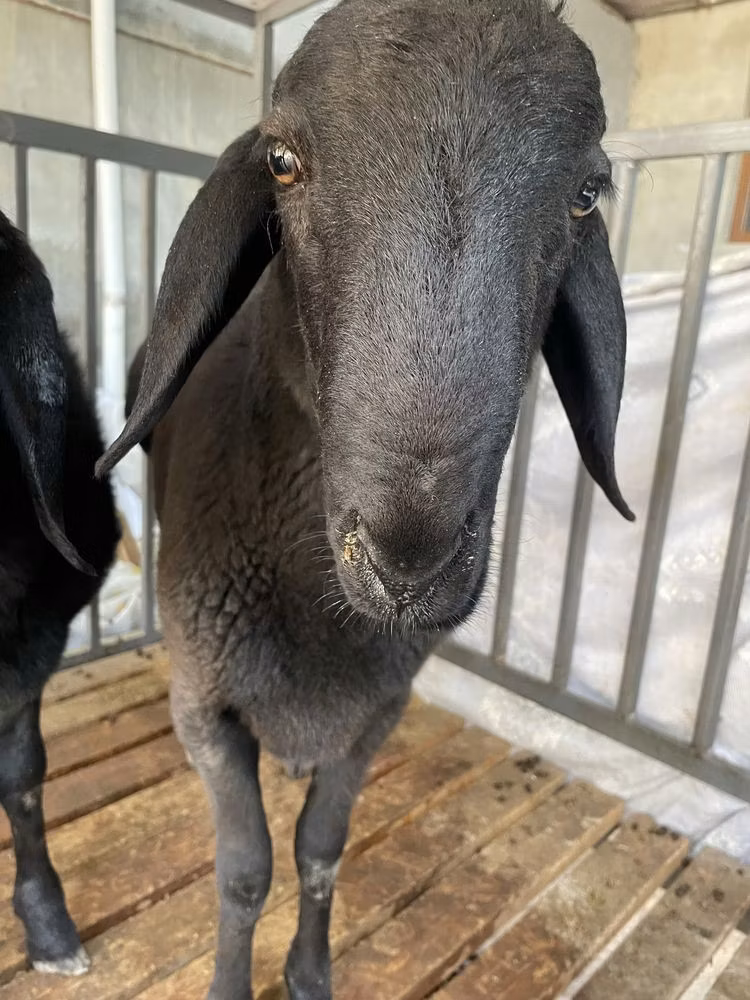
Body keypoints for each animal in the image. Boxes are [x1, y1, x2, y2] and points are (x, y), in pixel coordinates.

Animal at [97, 0, 634, 996]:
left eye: (587, 194)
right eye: (280, 160)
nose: (409, 561)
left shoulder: (374, 716)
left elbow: (319, 848)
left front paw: (310, 972)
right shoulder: (205, 705)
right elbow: (244, 873)